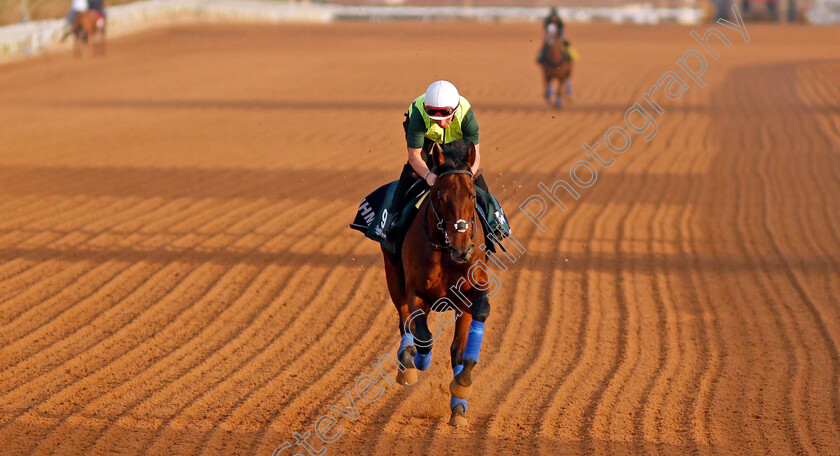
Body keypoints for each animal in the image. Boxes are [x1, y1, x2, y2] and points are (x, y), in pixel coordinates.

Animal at [386, 139, 496, 428]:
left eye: (472, 195)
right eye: (440, 195)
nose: (463, 249)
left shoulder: (469, 294)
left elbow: (463, 344)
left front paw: (462, 390)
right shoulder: (416, 292)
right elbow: (423, 337)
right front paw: (416, 362)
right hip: (393, 277)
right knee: (404, 323)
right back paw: (407, 365)